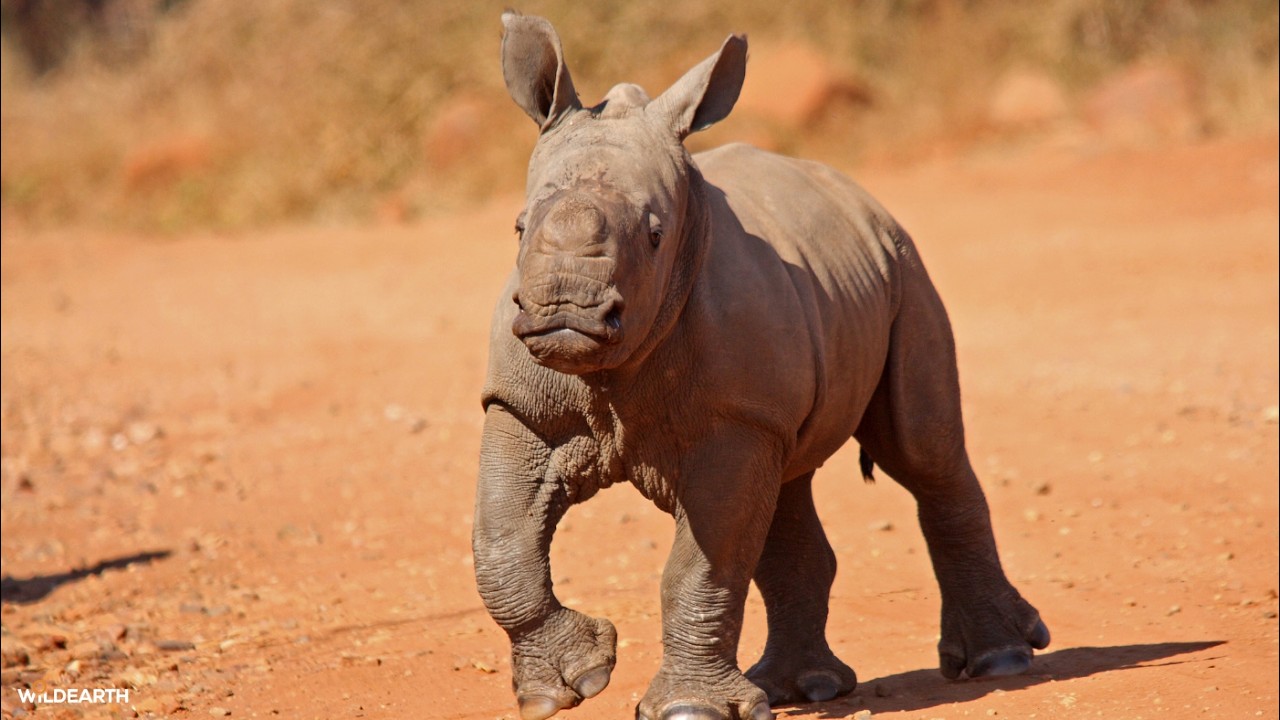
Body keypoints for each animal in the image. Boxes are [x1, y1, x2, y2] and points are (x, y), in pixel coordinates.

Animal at [473, 12, 1049, 720]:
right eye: (518, 227)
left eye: (656, 236)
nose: (565, 311)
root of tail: (861, 195)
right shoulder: (519, 403)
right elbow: (501, 544)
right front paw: (566, 687)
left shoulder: (735, 418)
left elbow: (704, 561)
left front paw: (687, 710)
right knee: (787, 486)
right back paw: (806, 688)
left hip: (905, 266)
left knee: (921, 453)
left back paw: (1001, 660)